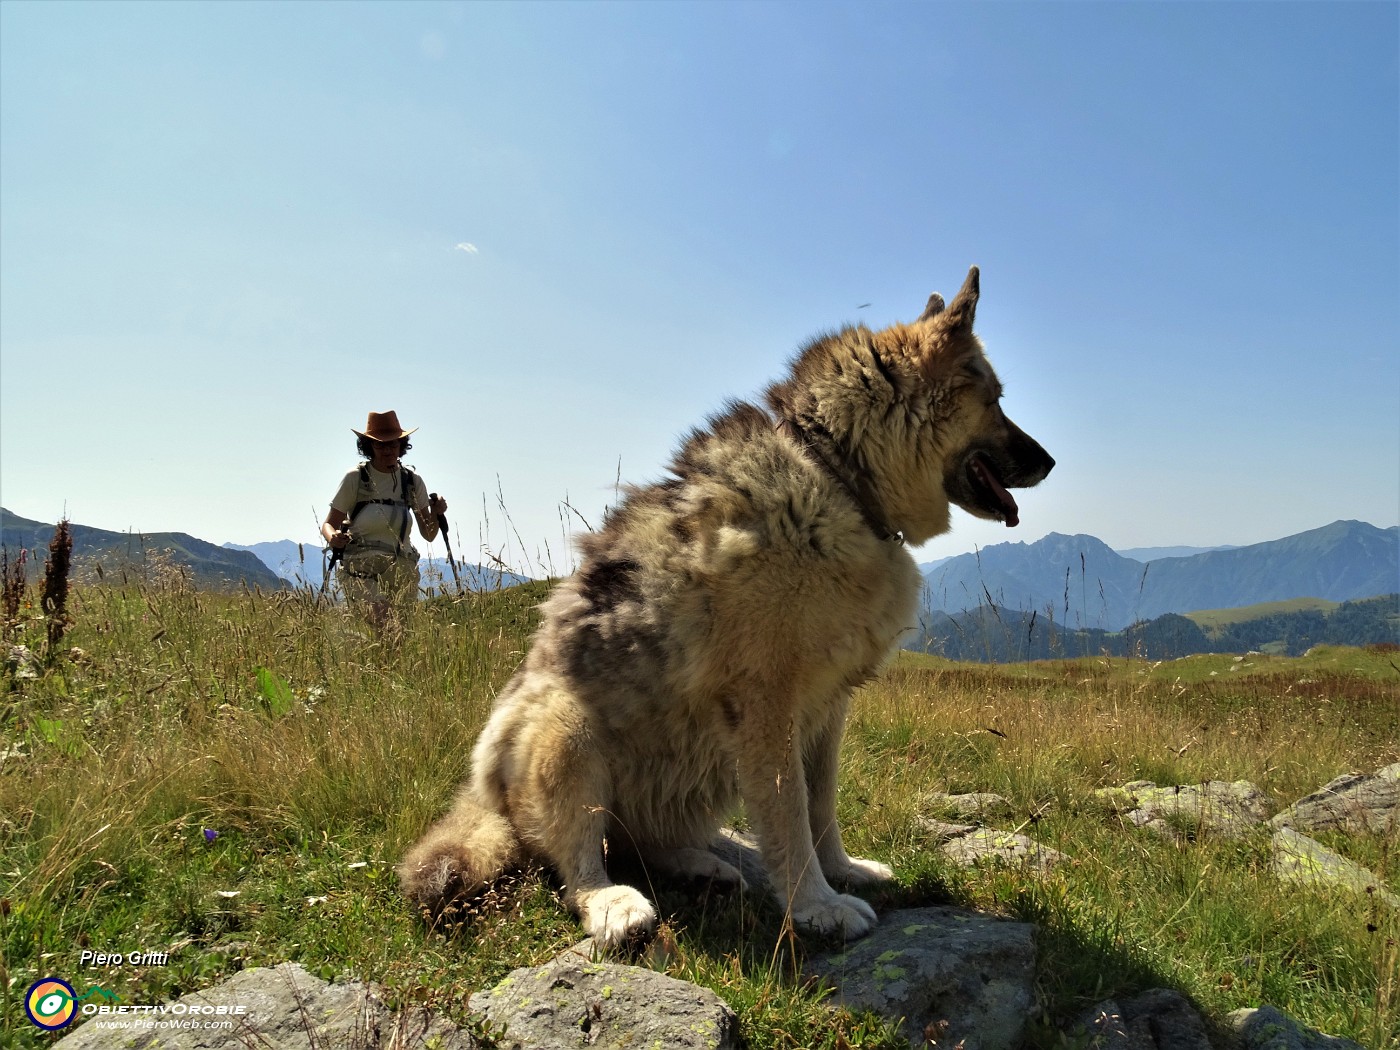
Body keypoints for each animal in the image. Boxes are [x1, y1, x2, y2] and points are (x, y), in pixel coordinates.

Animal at [400, 267, 1052, 952]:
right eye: (996, 399)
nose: (1049, 461)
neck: (840, 476)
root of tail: (483, 799)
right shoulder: (769, 707)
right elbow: (790, 816)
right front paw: (816, 905)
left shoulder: (828, 707)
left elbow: (821, 807)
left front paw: (843, 871)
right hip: (566, 724)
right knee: (577, 862)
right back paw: (613, 903)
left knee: (638, 842)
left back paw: (702, 864)